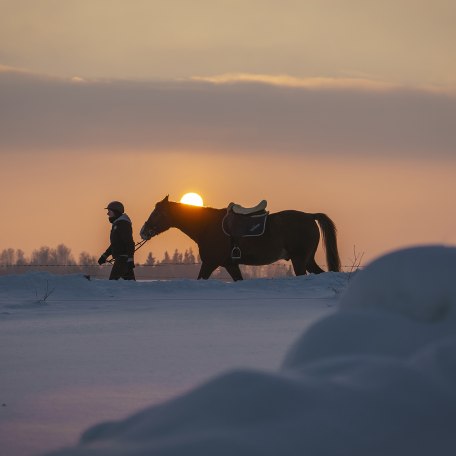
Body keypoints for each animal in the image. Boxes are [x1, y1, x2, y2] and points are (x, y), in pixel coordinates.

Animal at [141, 196, 340, 282]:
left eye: (157, 212)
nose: (143, 231)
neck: (207, 225)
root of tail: (309, 216)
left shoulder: (209, 263)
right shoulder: (230, 265)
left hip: (299, 260)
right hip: (307, 260)